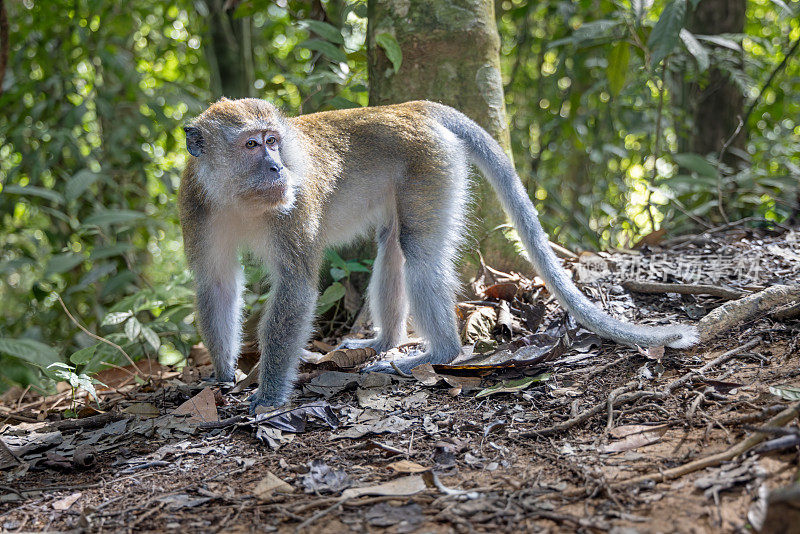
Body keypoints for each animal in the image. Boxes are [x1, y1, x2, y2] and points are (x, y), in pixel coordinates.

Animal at [178, 98, 696, 412]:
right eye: (252, 144)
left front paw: (267, 395)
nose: (277, 168)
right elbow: (216, 284)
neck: (238, 198)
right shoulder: (196, 205)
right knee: (393, 245)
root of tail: (410, 106)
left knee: (419, 254)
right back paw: (384, 342)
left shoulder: (293, 207)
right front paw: (222, 374)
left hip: (432, 164)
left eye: (273, 141)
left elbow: (296, 287)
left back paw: (437, 352)